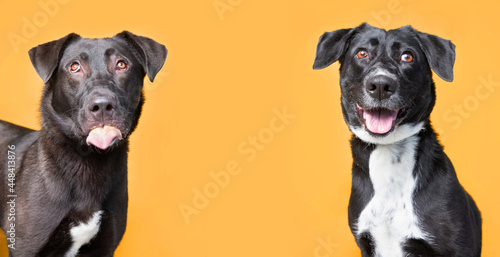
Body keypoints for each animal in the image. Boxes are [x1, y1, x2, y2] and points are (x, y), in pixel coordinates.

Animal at [0, 31, 168, 255]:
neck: (89, 161)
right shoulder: (26, 248)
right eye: (74, 67)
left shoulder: (105, 248)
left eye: (121, 64)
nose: (102, 106)